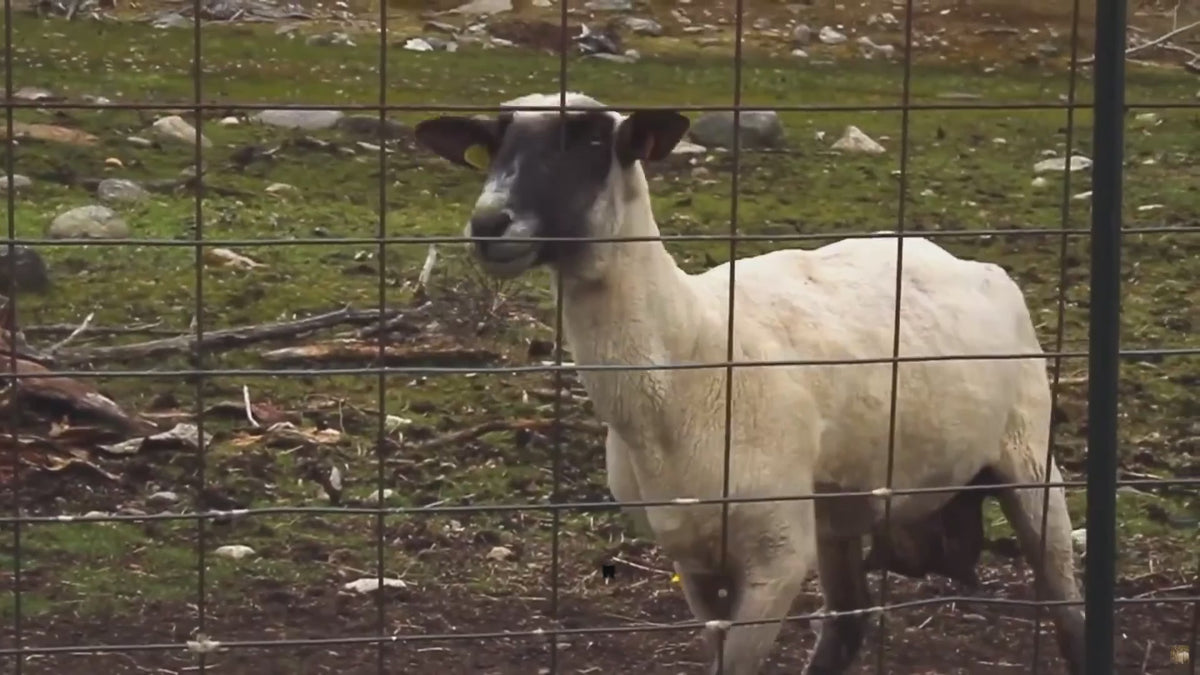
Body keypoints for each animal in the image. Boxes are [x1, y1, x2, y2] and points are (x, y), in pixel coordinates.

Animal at [413, 92, 1086, 675]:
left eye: (593, 141)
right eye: (492, 145)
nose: (489, 222)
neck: (686, 359)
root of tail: (969, 262)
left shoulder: (776, 554)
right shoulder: (692, 556)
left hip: (1029, 453)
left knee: (1066, 605)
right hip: (838, 506)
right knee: (847, 625)